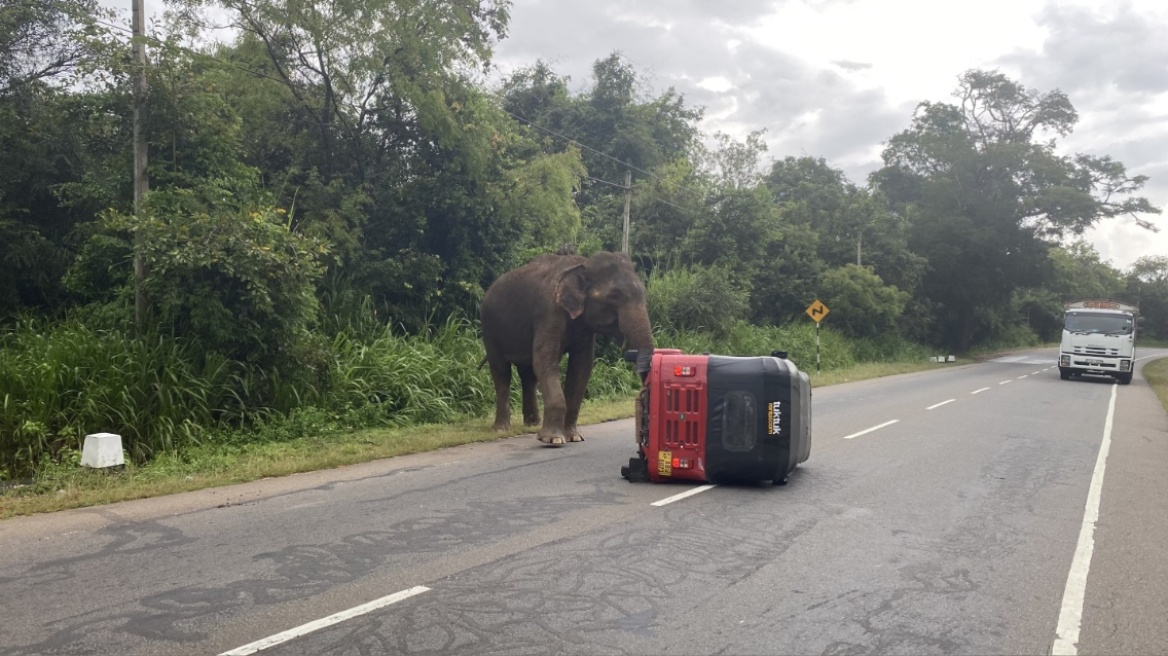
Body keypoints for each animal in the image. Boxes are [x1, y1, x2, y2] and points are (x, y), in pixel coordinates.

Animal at [476, 248, 658, 443]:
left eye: (643, 293)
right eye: (614, 295)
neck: (583, 264)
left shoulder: (584, 329)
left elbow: (581, 367)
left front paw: (574, 437)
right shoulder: (549, 312)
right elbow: (545, 360)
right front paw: (553, 439)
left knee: (528, 374)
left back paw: (532, 424)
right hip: (489, 328)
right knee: (502, 372)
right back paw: (501, 429)